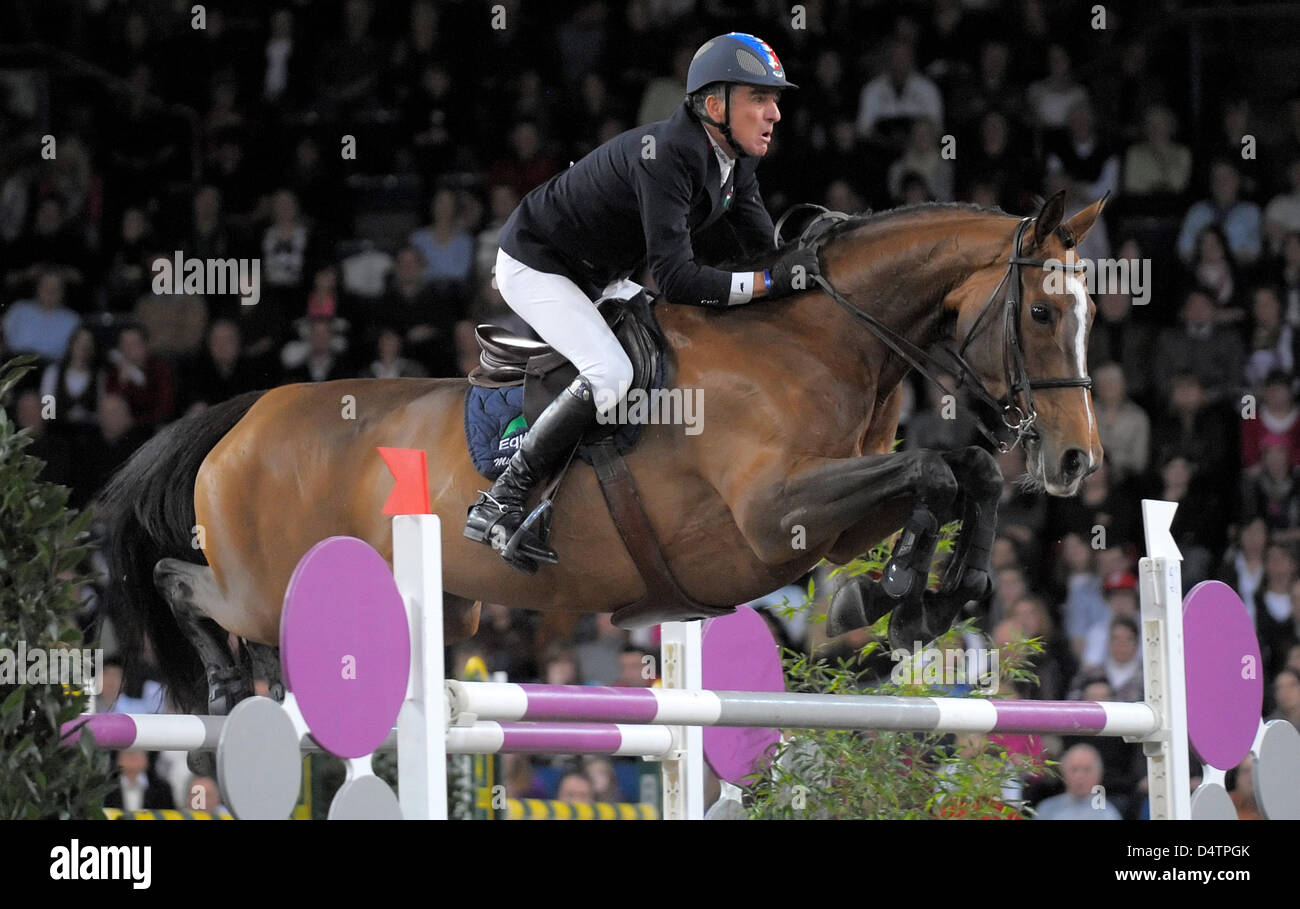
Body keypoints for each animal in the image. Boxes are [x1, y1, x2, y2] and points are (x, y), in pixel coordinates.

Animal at [98, 193, 1107, 717]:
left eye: (1092, 311)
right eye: (1042, 311)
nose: (1075, 462)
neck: (818, 341)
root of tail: (245, 414)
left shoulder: (827, 519)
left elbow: (963, 473)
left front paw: (933, 596)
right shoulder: (770, 518)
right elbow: (937, 469)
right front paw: (896, 593)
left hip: (446, 611)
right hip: (264, 585)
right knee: (182, 580)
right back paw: (227, 682)